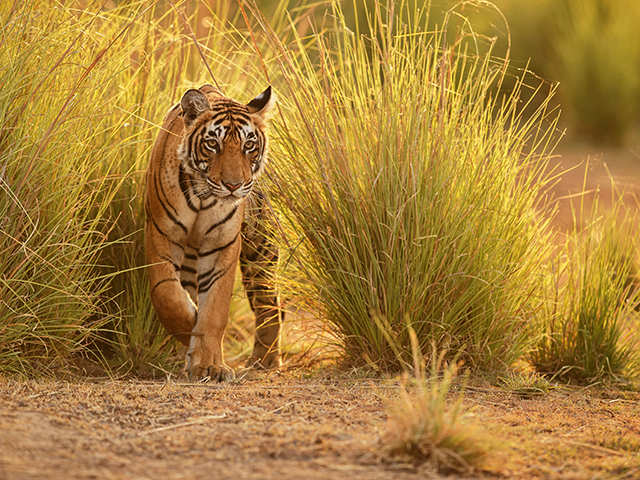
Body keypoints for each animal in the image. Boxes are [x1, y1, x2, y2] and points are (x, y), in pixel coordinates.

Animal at [148, 84, 284, 380]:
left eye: (248, 146)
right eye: (213, 144)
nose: (233, 185)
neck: (202, 197)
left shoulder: (222, 244)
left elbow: (215, 309)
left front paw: (209, 365)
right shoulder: (162, 235)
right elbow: (167, 295)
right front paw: (190, 330)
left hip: (260, 250)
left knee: (270, 303)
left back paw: (265, 360)